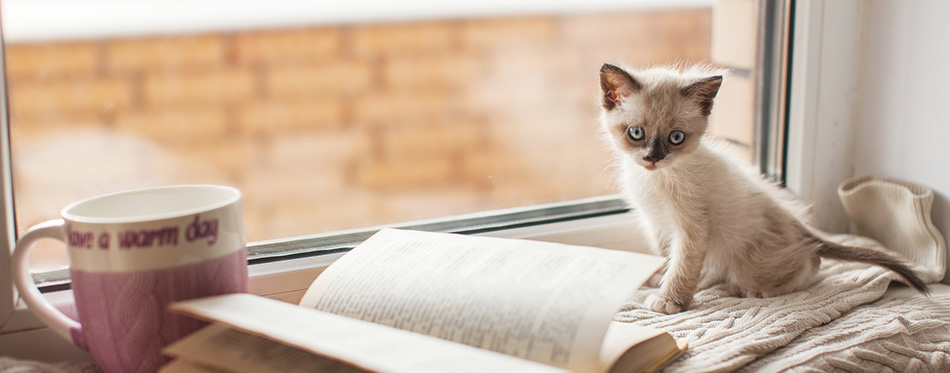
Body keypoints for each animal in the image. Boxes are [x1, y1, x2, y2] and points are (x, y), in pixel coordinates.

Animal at [600, 62, 924, 312]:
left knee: (812, 261)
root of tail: (798, 225)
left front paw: (670, 301)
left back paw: (758, 290)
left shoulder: (692, 227)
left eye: (676, 138)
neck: (655, 178)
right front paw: (660, 278)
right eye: (636, 133)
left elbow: (682, 266)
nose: (653, 158)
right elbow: (667, 256)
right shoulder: (656, 223)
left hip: (748, 263)